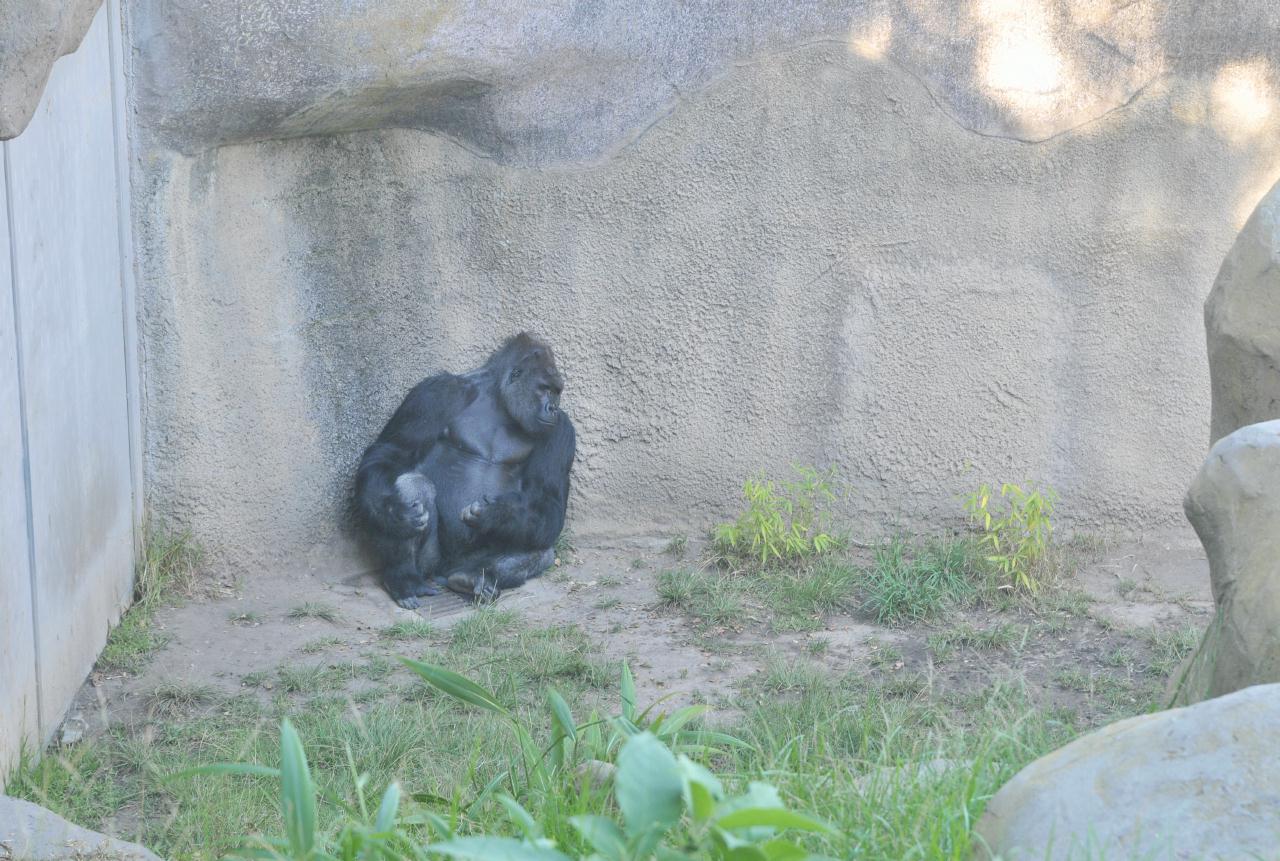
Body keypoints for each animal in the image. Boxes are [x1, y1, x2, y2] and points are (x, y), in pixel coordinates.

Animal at [355, 332, 576, 608]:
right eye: (545, 389)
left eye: (556, 392)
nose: (553, 408)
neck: (499, 402)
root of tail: (446, 572)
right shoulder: (437, 392)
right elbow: (391, 452)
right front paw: (392, 512)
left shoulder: (562, 430)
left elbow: (547, 502)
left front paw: (499, 514)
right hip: (430, 565)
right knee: (412, 483)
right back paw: (404, 577)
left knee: (542, 546)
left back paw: (476, 577)